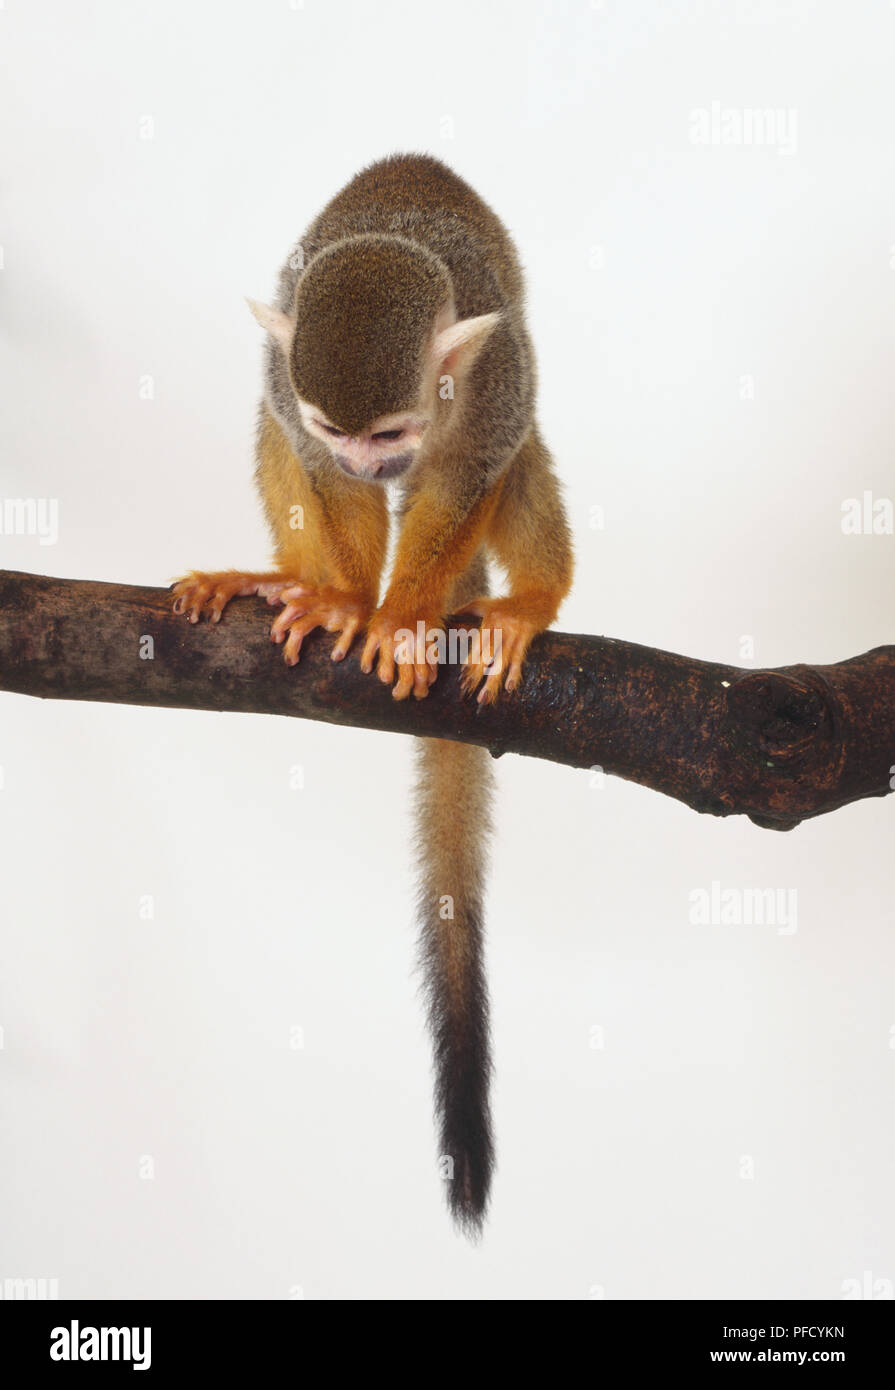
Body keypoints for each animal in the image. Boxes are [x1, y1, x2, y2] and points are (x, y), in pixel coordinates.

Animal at [172, 153, 573, 1235]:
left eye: (389, 426)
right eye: (343, 428)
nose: (374, 456)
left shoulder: (491, 372)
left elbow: (471, 468)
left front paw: (399, 619)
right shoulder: (296, 392)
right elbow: (311, 463)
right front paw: (348, 602)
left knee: (512, 454)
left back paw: (528, 601)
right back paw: (291, 583)